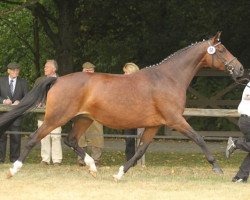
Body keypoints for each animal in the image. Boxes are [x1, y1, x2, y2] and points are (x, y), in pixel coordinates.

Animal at [0, 31, 243, 180]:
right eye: (222, 50)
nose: (240, 69)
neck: (168, 78)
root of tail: (57, 80)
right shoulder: (176, 120)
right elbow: (199, 138)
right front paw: (217, 167)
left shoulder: (154, 125)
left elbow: (140, 150)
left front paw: (119, 173)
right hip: (56, 118)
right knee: (34, 138)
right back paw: (13, 170)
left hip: (84, 118)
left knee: (71, 140)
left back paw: (92, 167)